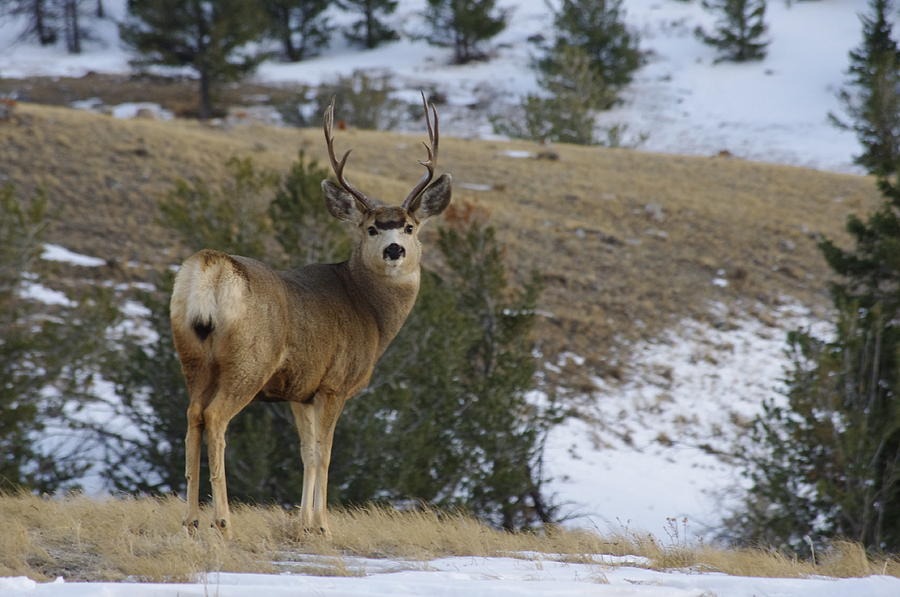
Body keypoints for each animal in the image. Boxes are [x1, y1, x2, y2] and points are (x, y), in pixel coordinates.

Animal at [169, 94, 450, 536]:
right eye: (371, 228)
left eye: (409, 227)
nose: (394, 250)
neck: (370, 312)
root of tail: (210, 267)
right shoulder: (335, 383)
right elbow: (325, 452)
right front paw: (322, 525)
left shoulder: (300, 389)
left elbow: (306, 450)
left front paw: (302, 522)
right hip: (248, 361)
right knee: (214, 417)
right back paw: (223, 519)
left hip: (192, 355)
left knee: (192, 414)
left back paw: (192, 519)